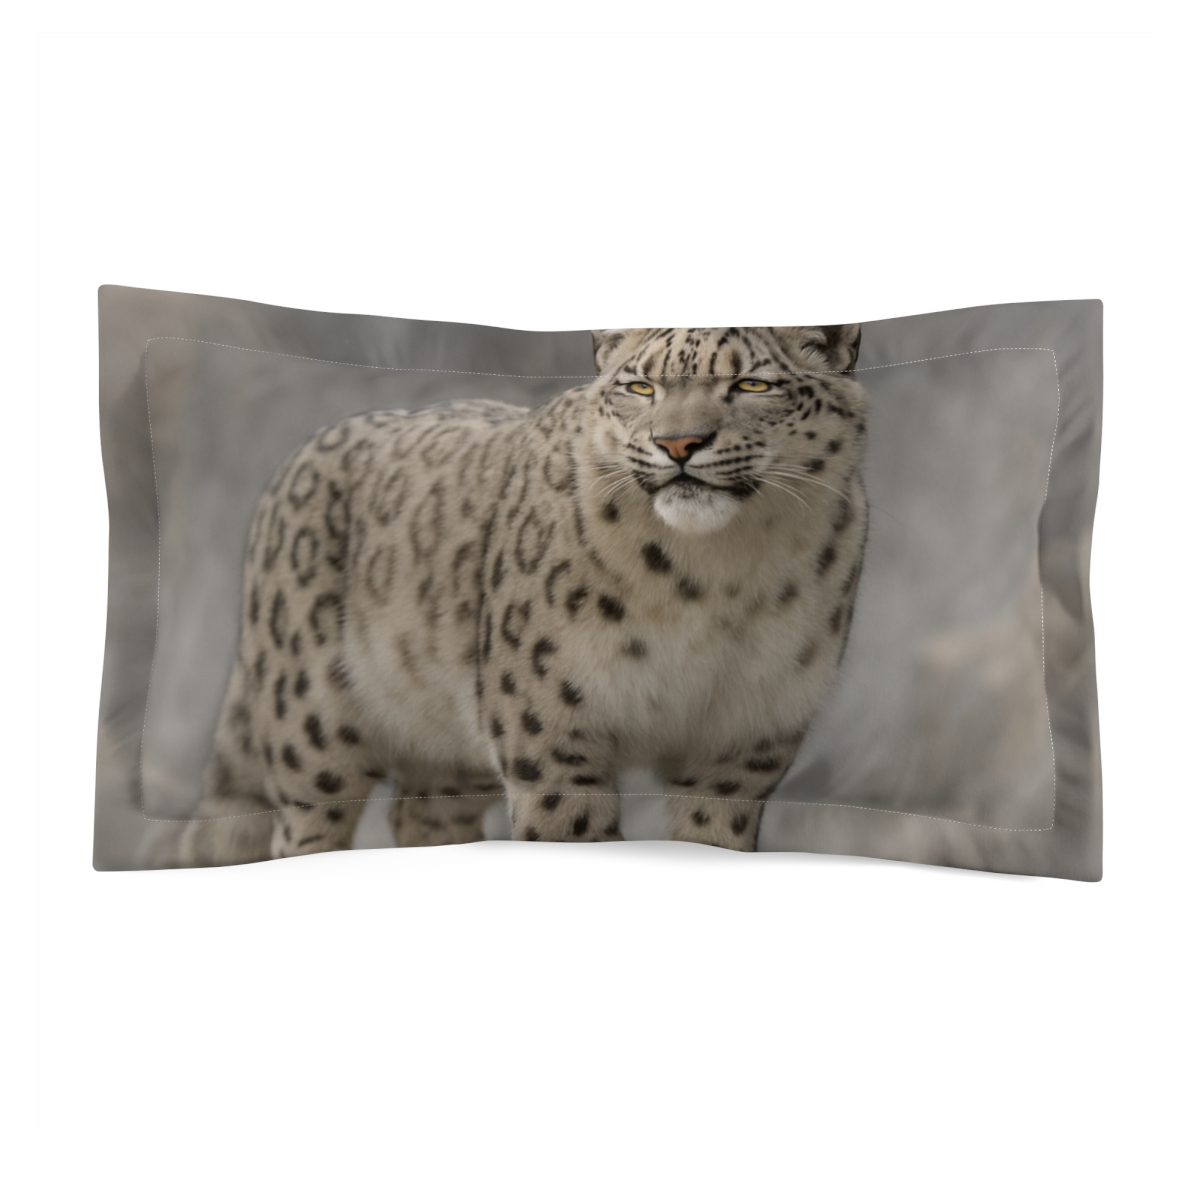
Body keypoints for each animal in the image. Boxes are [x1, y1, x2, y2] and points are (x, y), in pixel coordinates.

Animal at [146, 324, 868, 866]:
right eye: (641, 385)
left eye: (752, 384)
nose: (678, 444)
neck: (717, 578)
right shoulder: (551, 734)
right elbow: (572, 832)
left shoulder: (741, 745)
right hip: (311, 730)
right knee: (304, 827)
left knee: (424, 814)